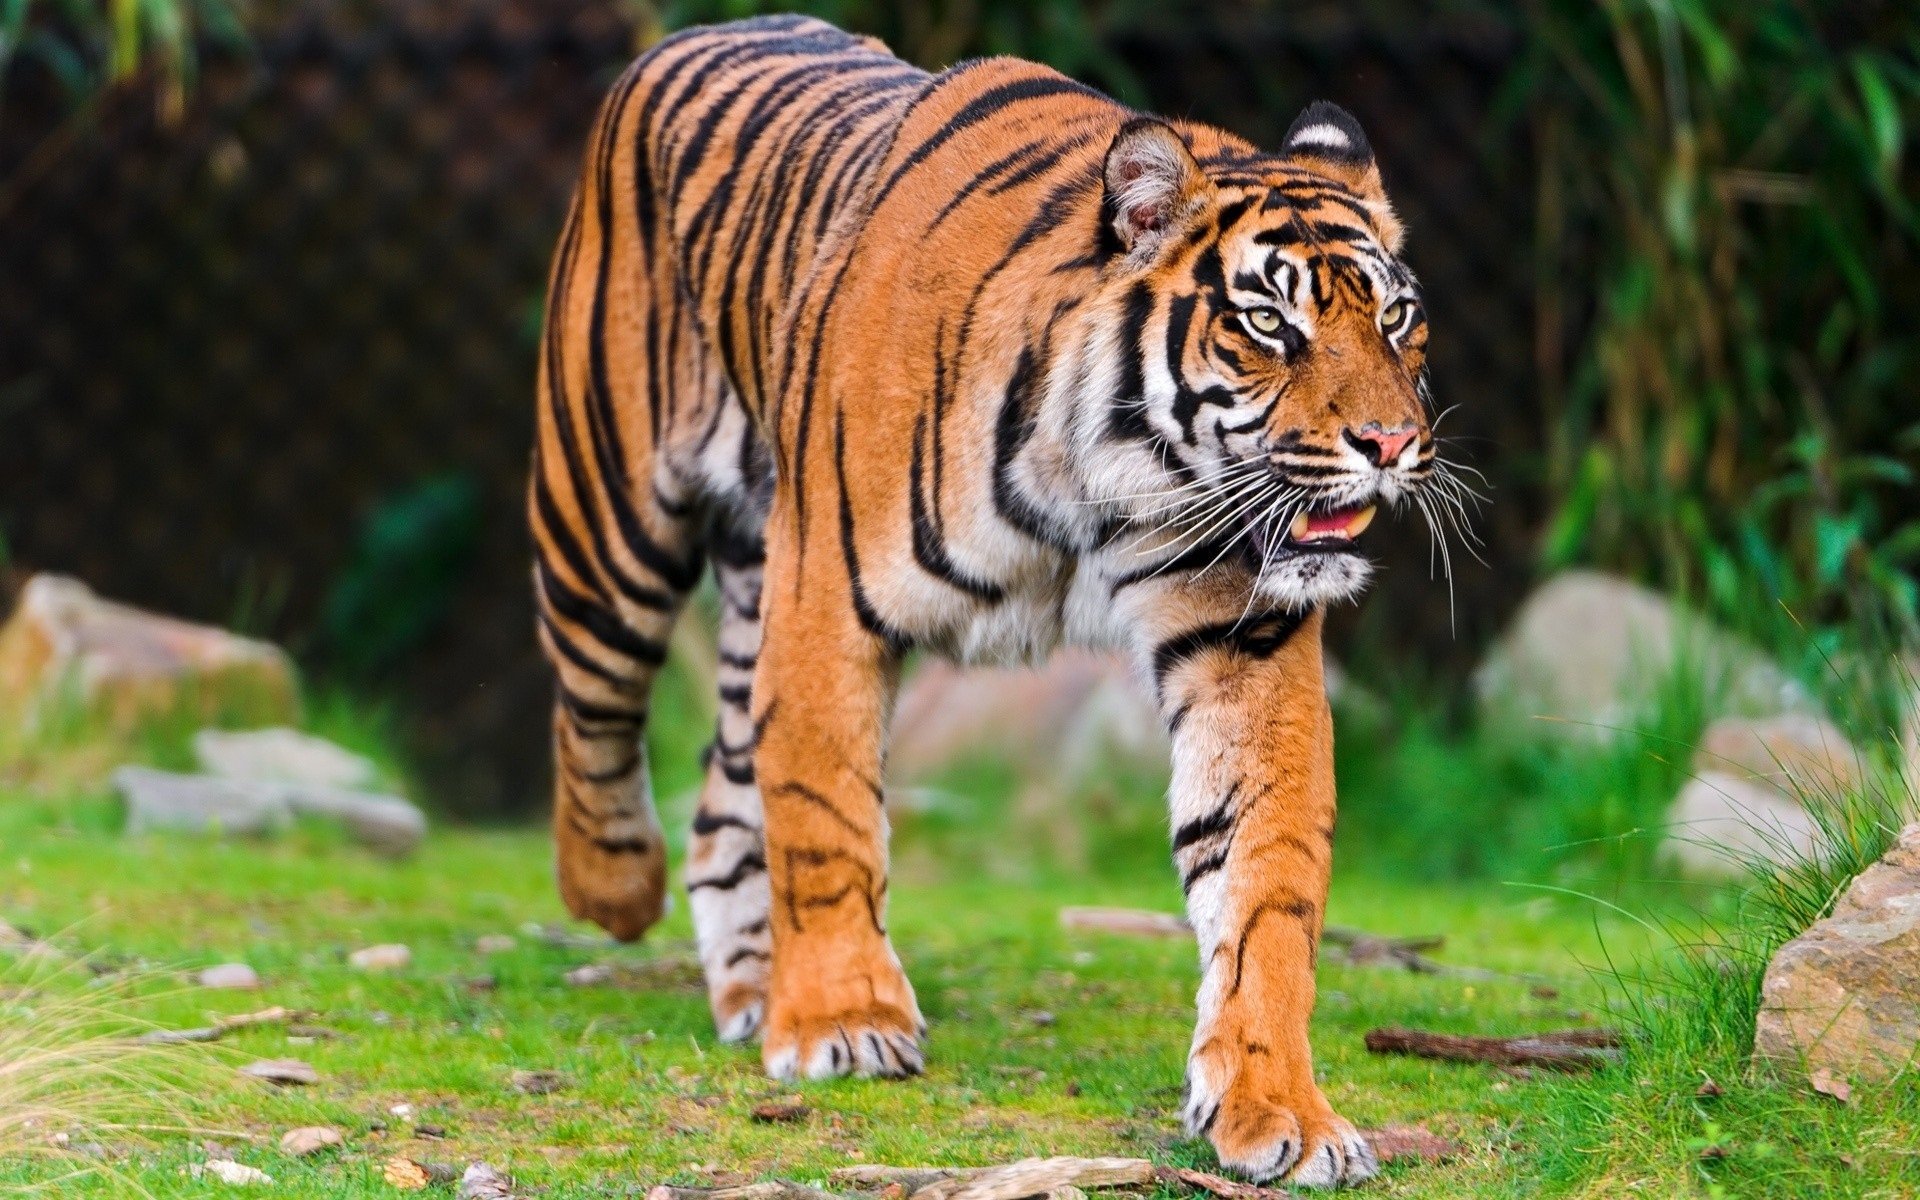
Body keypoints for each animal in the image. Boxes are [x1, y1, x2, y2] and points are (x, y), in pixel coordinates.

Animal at [530, 15, 1442, 1188]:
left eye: (1399, 318)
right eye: (1270, 323)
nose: (1393, 444)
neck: (1107, 484)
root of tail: (695, 33)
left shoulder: (1244, 635)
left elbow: (1266, 881)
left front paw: (1276, 1106)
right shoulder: (825, 596)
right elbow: (826, 812)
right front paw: (845, 1021)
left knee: (724, 788)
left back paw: (752, 988)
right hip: (608, 518)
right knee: (593, 716)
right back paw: (617, 890)